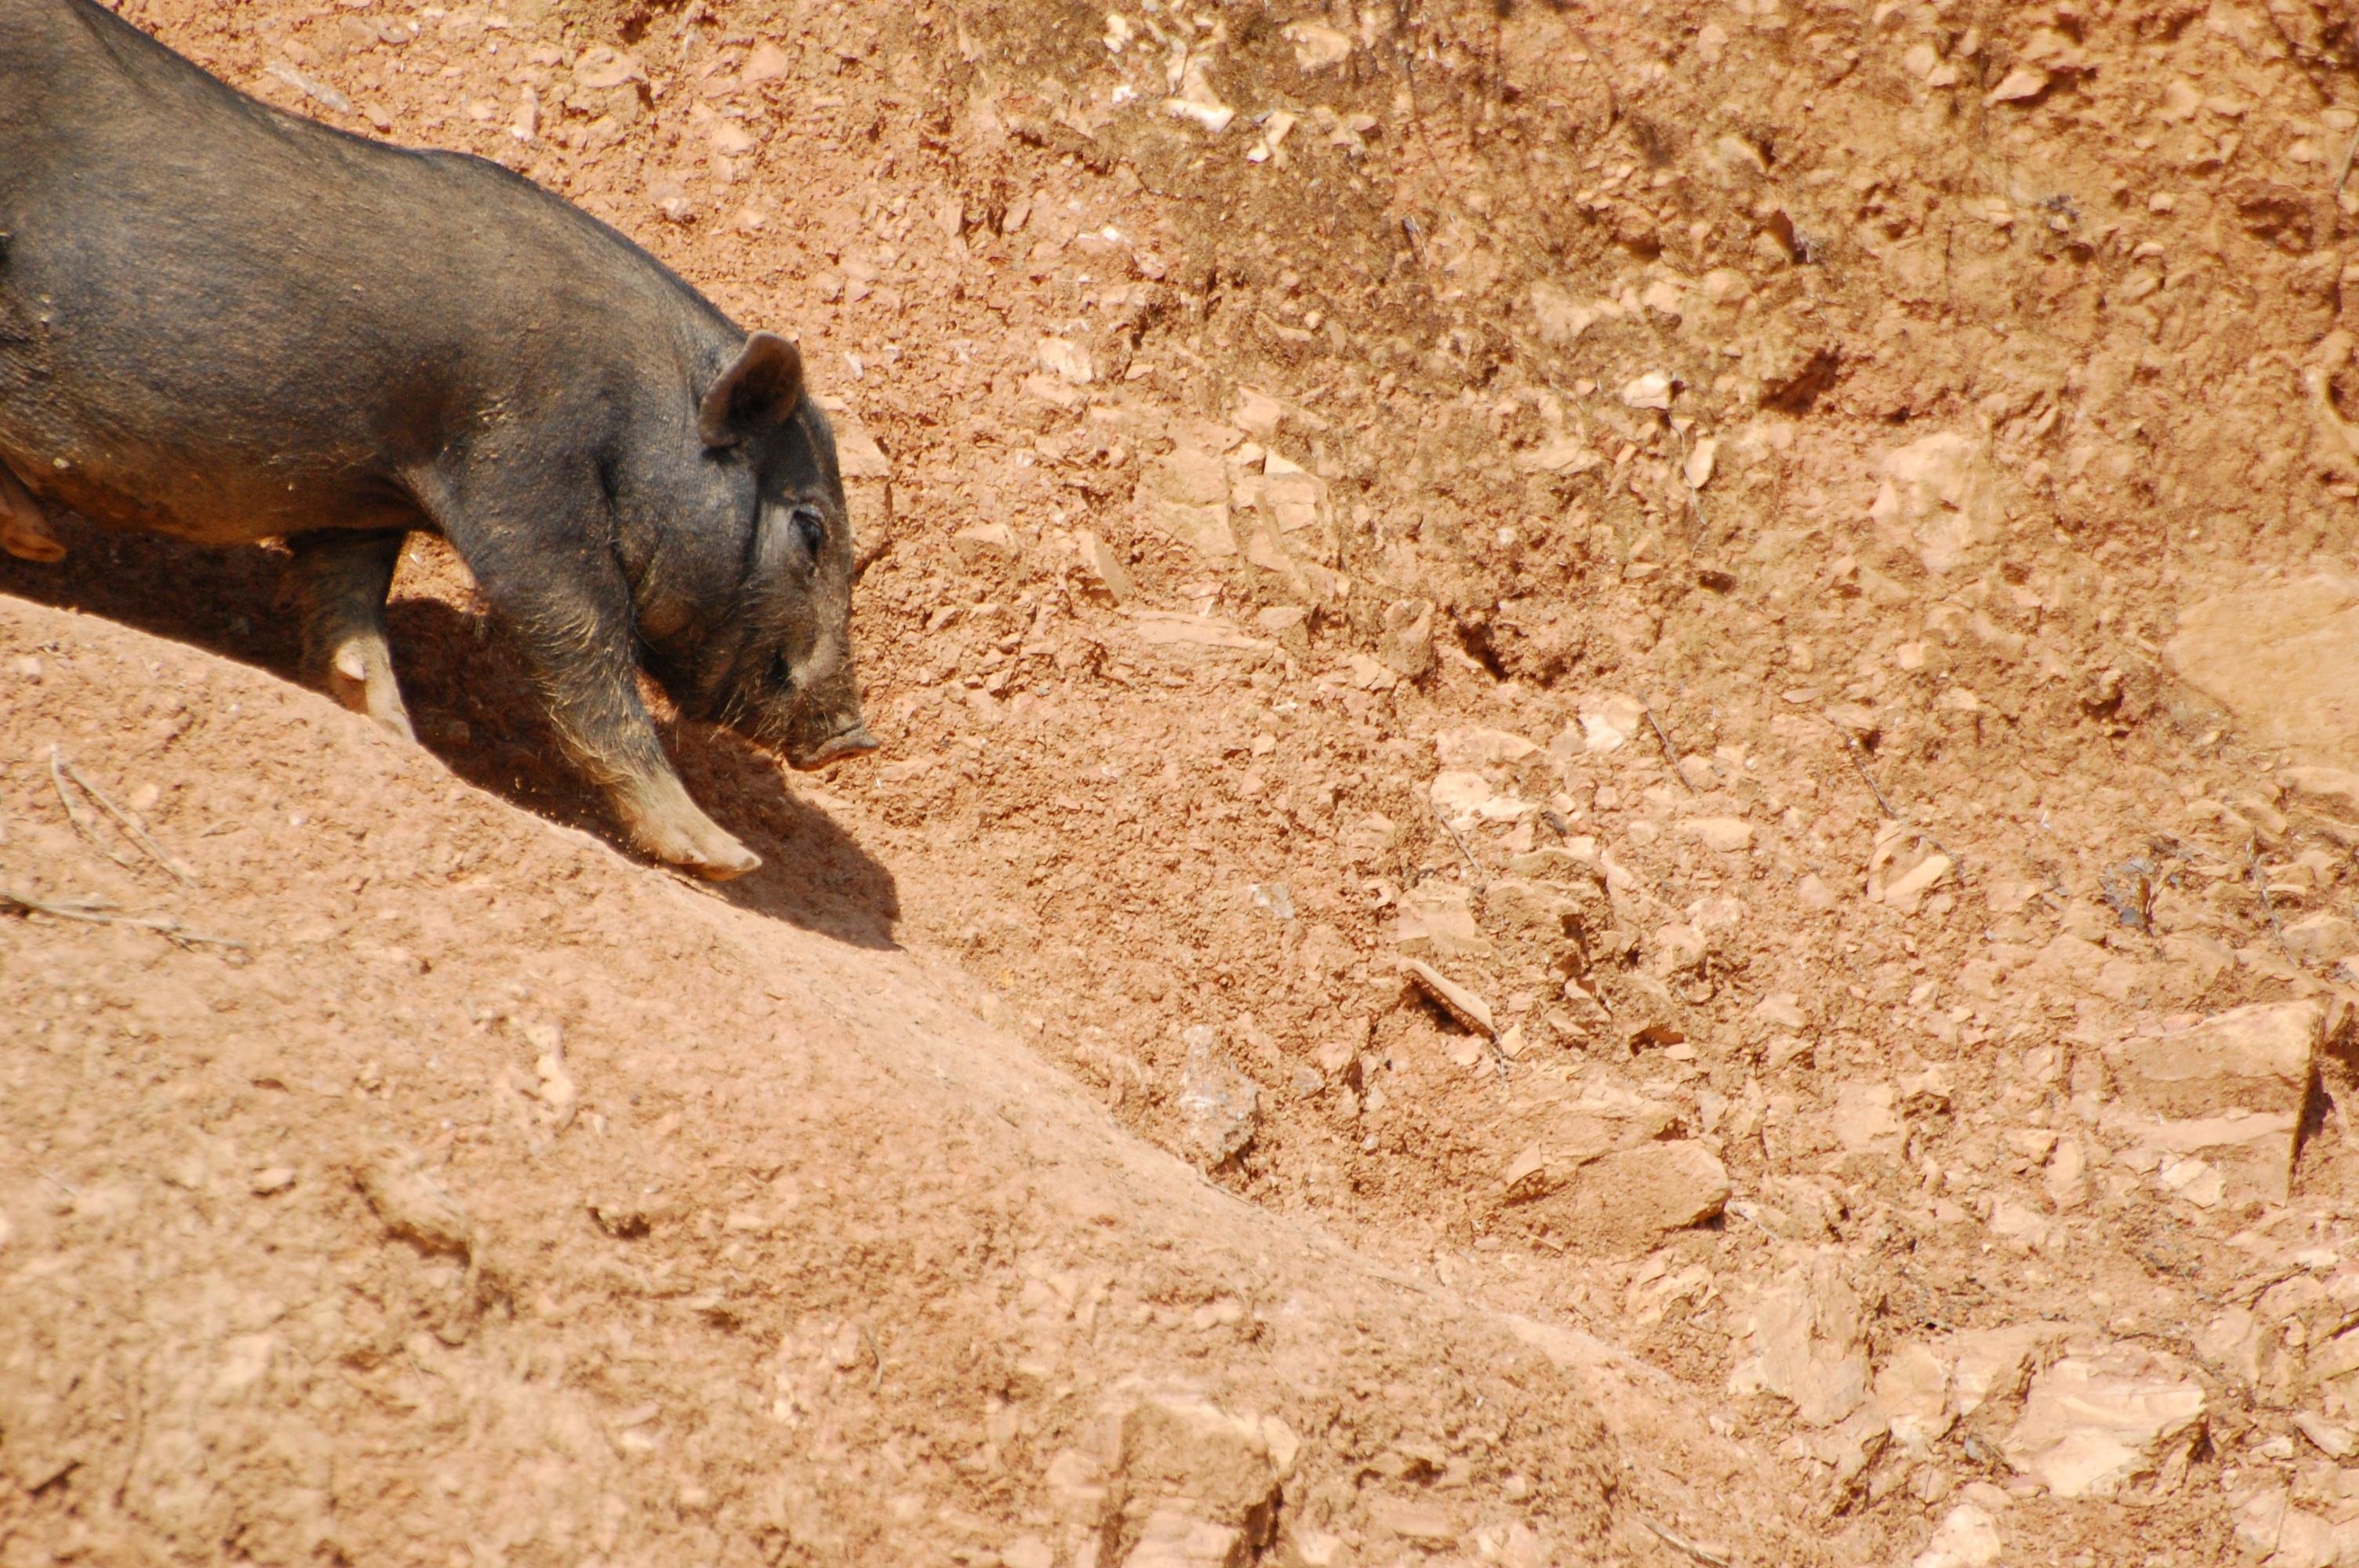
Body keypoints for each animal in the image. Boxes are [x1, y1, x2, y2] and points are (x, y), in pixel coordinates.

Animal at [0, 0, 876, 879]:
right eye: (811, 530)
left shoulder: (361, 501)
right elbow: (581, 637)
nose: (855, 739)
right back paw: (41, 541)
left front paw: (397, 739)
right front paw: (728, 860)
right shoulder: (521, 469)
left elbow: (349, 612)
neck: (637, 403)